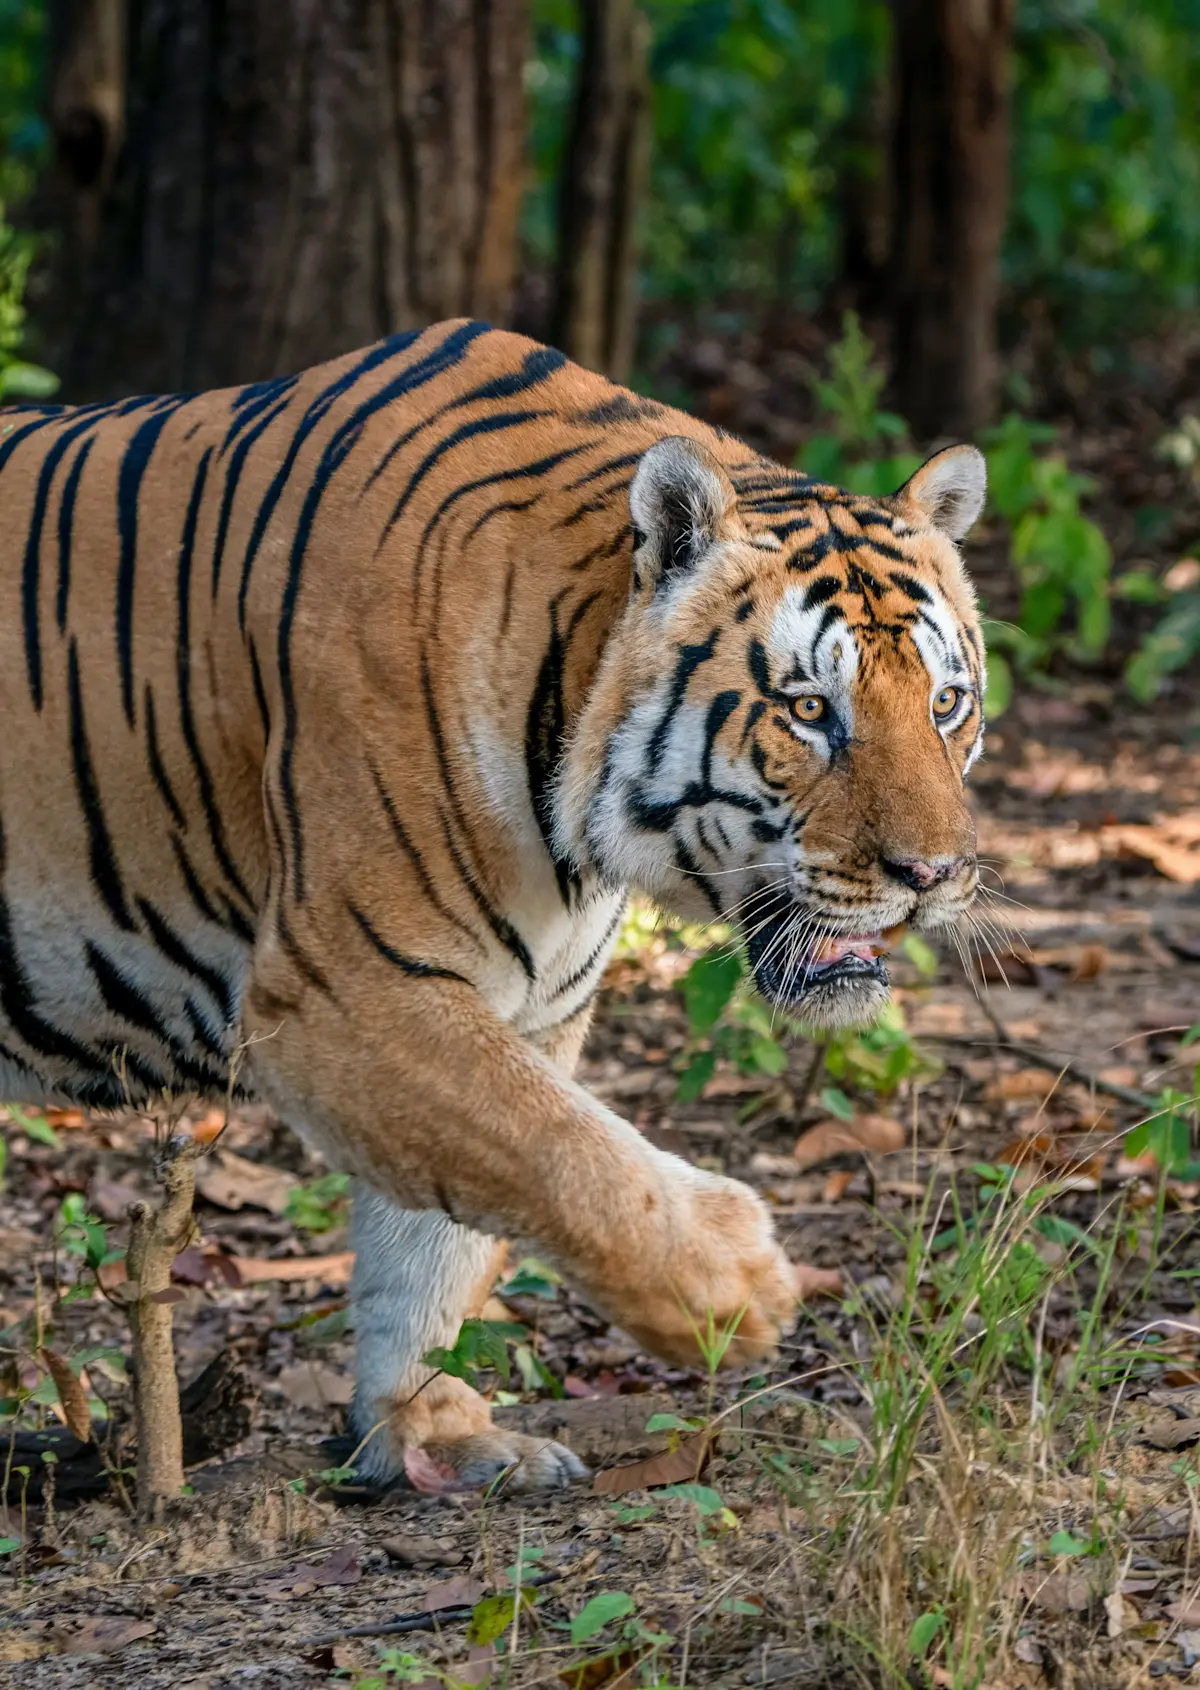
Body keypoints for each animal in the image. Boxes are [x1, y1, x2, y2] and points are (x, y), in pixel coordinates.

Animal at [0, 319, 986, 1490]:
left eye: (947, 703)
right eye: (809, 711)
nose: (933, 875)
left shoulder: (525, 1005)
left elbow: (443, 1234)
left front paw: (433, 1433)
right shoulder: (343, 992)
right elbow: (558, 1153)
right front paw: (735, 1292)